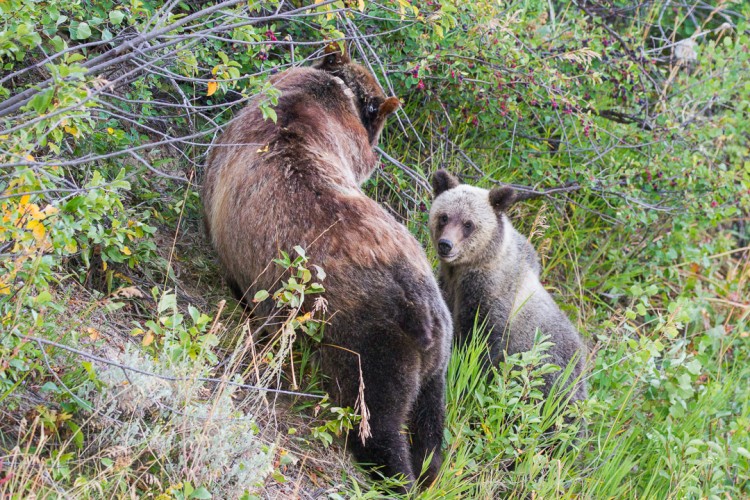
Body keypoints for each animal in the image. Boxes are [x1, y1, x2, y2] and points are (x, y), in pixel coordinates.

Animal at [201, 45, 452, 486]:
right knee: (429, 416)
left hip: (367, 342)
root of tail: (419, 309)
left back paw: (392, 470)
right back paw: (427, 468)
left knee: (375, 415)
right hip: (438, 349)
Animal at [428, 170, 588, 404]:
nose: (446, 245)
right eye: (444, 217)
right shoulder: (449, 286)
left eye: (468, 224)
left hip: (552, 367)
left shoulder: (490, 297)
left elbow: (480, 344)